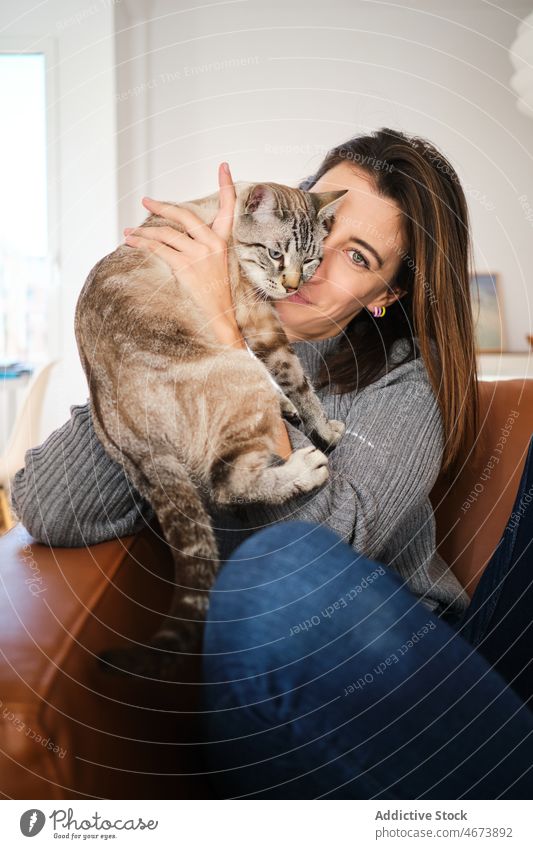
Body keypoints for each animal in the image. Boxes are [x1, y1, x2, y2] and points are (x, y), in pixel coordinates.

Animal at [76, 181, 350, 684]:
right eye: (276, 254)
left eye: (311, 259)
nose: (292, 286)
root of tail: (129, 438)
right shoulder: (260, 320)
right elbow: (298, 380)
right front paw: (323, 425)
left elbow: (288, 387)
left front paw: (293, 413)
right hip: (236, 368)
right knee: (226, 486)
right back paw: (306, 467)